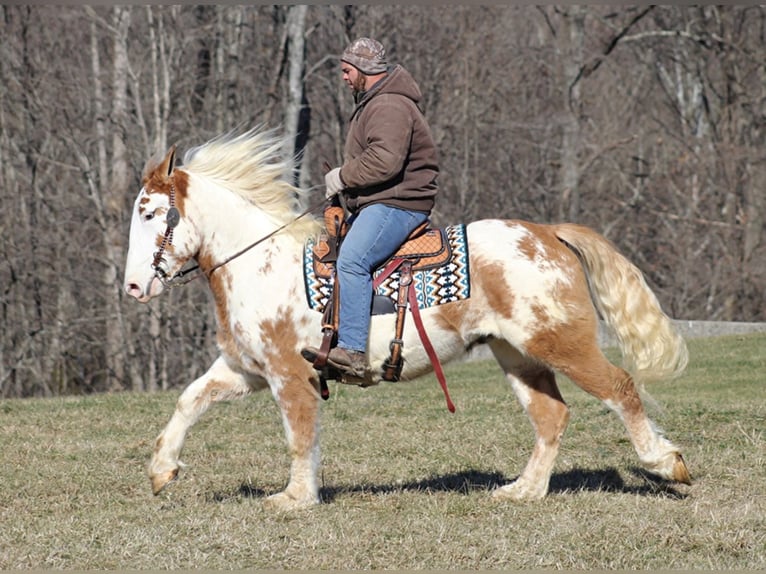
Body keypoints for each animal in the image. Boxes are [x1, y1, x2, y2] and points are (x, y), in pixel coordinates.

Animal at [123, 127, 692, 512]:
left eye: (150, 212)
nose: (132, 287)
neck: (259, 262)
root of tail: (549, 232)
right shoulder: (245, 369)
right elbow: (189, 401)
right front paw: (161, 471)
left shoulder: (290, 374)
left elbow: (299, 435)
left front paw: (295, 497)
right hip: (517, 354)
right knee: (552, 416)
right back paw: (524, 490)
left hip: (562, 344)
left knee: (621, 389)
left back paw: (667, 464)